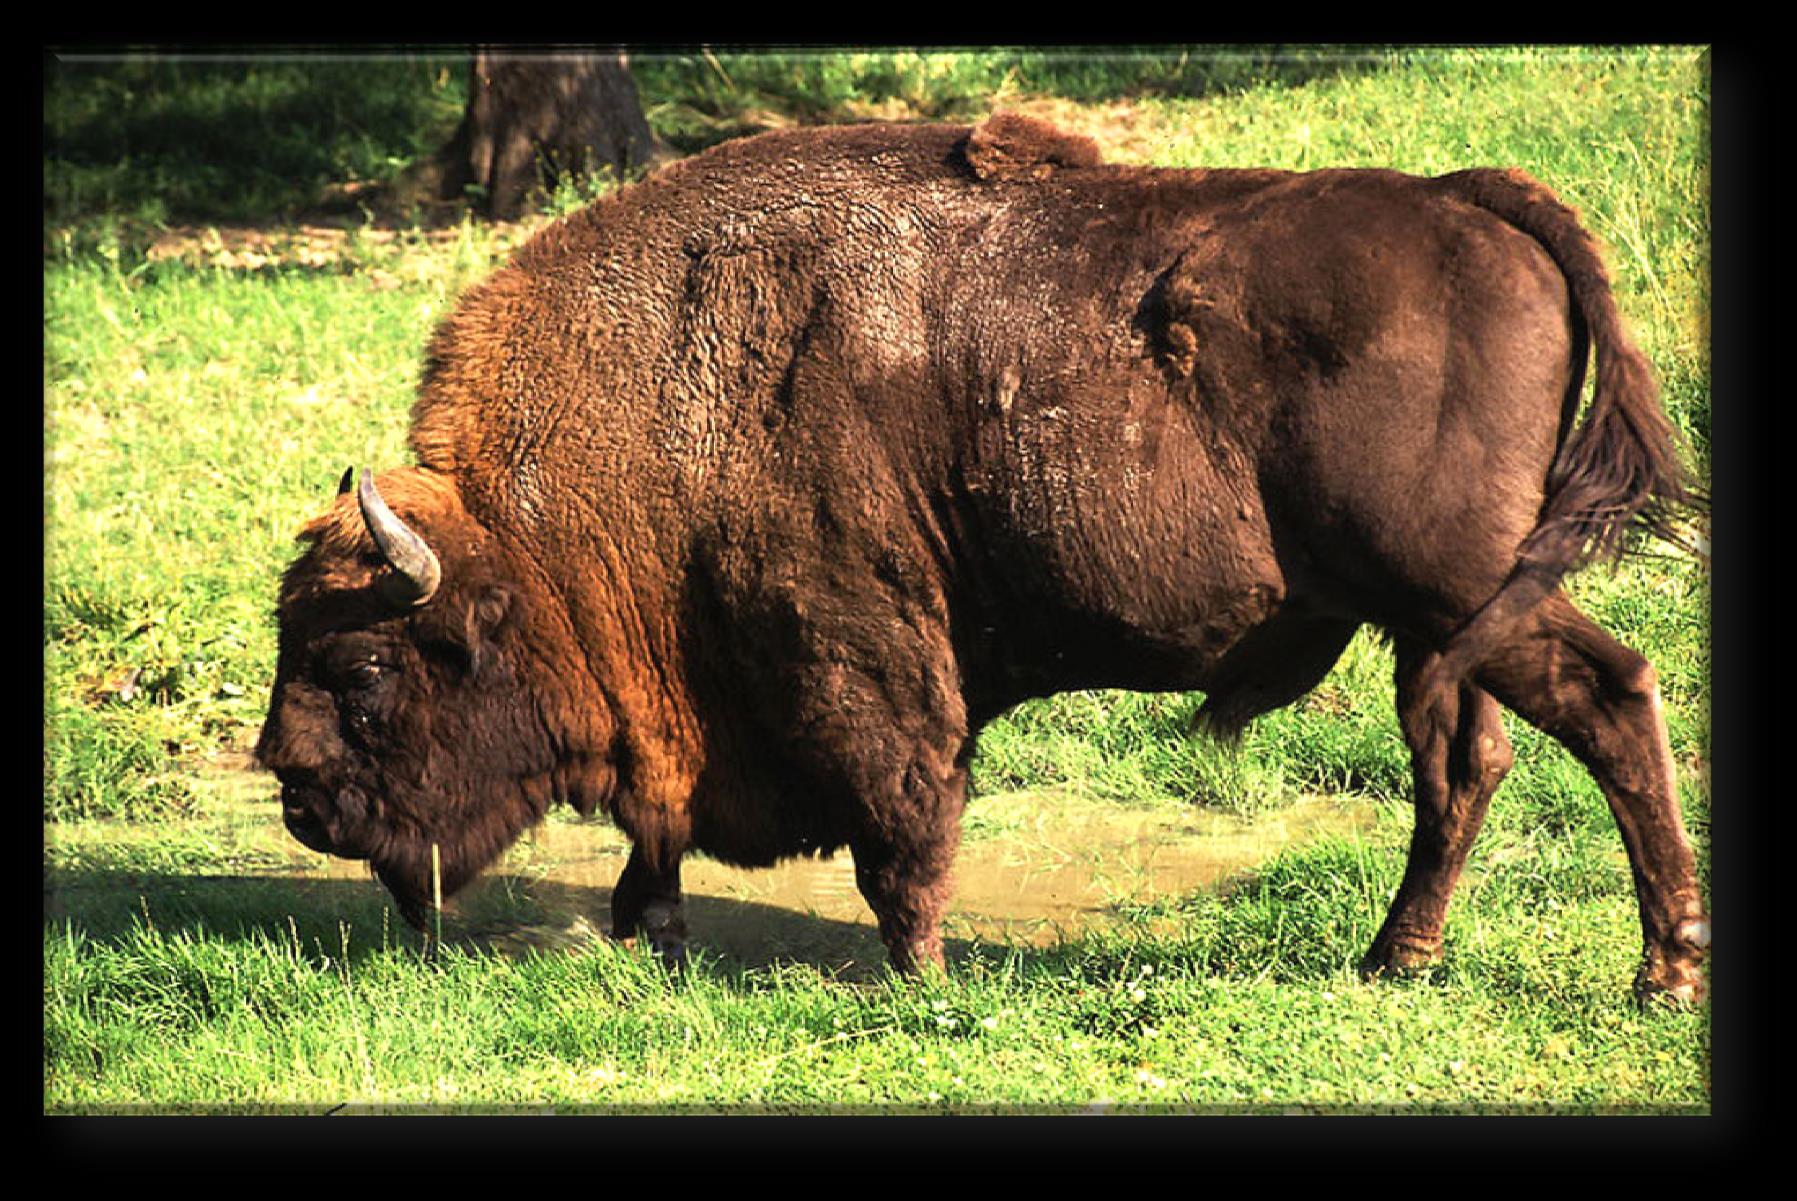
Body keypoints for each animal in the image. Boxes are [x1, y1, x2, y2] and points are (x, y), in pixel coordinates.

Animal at [260, 112, 1703, 999]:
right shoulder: (680, 707)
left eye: (366, 670)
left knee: (1611, 697)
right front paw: (649, 933)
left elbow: (904, 817)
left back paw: (1662, 970)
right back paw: (1394, 959)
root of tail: (1473, 206)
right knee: (1466, 762)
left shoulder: (856, 654)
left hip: (1472, 592)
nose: (294, 791)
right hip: (1432, 626)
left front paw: (917, 974)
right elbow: (662, 829)